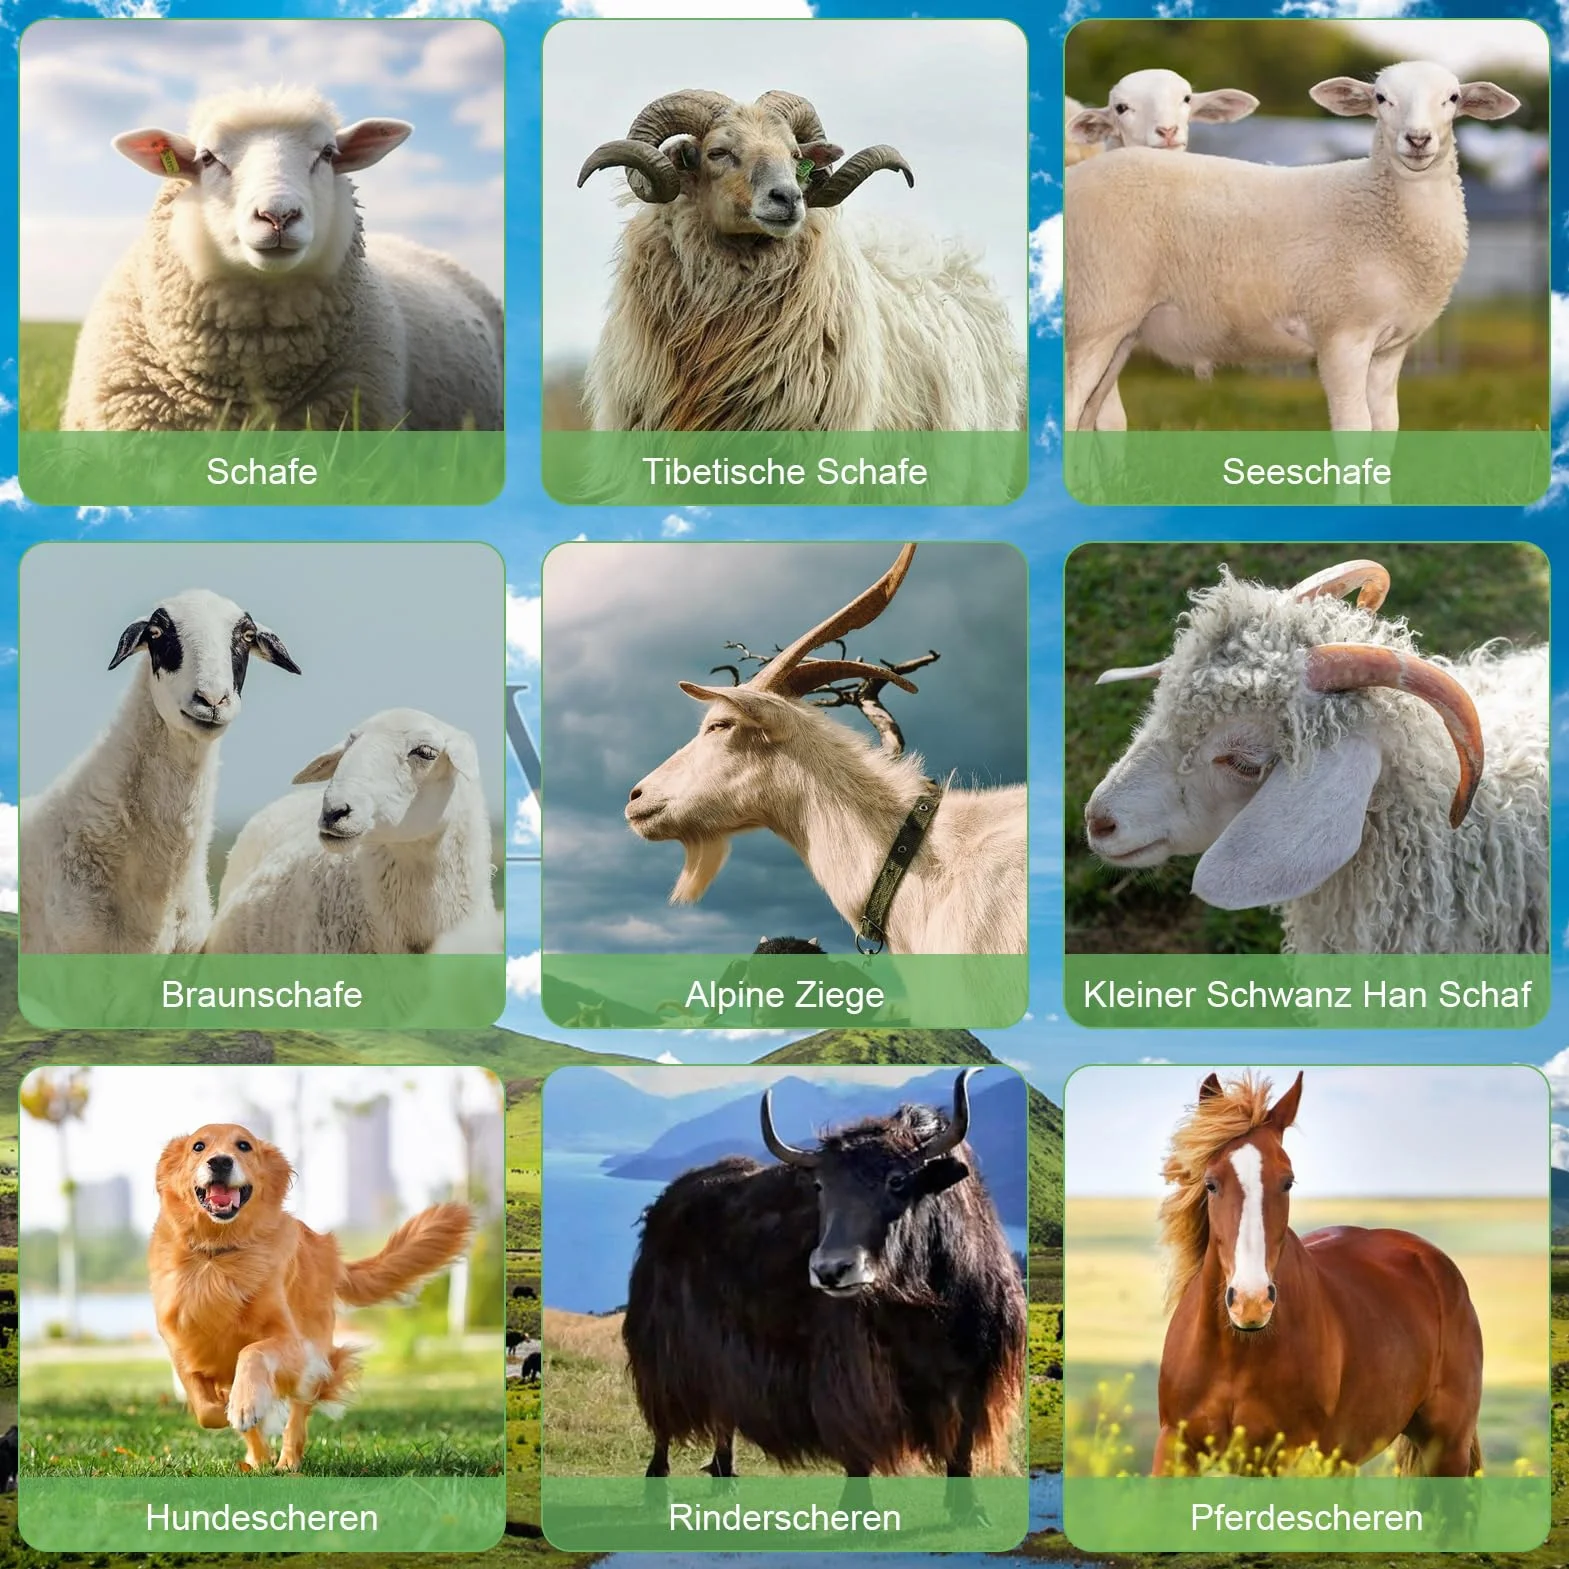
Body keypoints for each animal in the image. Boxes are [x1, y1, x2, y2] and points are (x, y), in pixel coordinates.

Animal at [1064, 61, 1521, 433]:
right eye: (1381, 98)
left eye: (1452, 98)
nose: (1418, 138)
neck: (1378, 209)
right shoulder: (1341, 334)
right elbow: (1354, 429)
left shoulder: (1390, 348)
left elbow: (1386, 430)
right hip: (1094, 315)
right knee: (1071, 410)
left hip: (1116, 327)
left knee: (1090, 415)